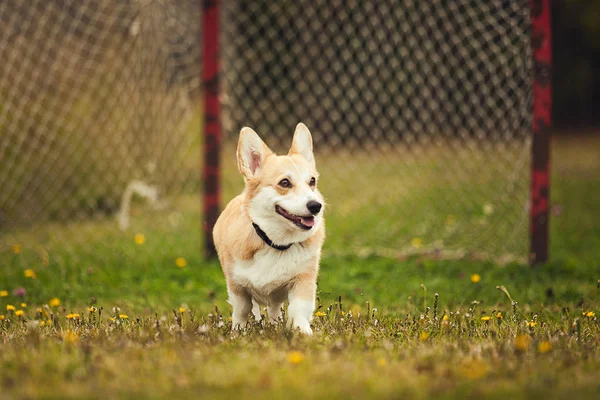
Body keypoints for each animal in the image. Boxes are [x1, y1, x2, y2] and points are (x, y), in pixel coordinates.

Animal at [213, 122, 326, 334]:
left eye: (312, 181)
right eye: (285, 183)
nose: (316, 206)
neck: (276, 243)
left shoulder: (303, 280)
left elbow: (298, 309)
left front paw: (303, 332)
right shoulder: (236, 285)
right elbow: (242, 309)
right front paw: (238, 332)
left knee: (274, 309)